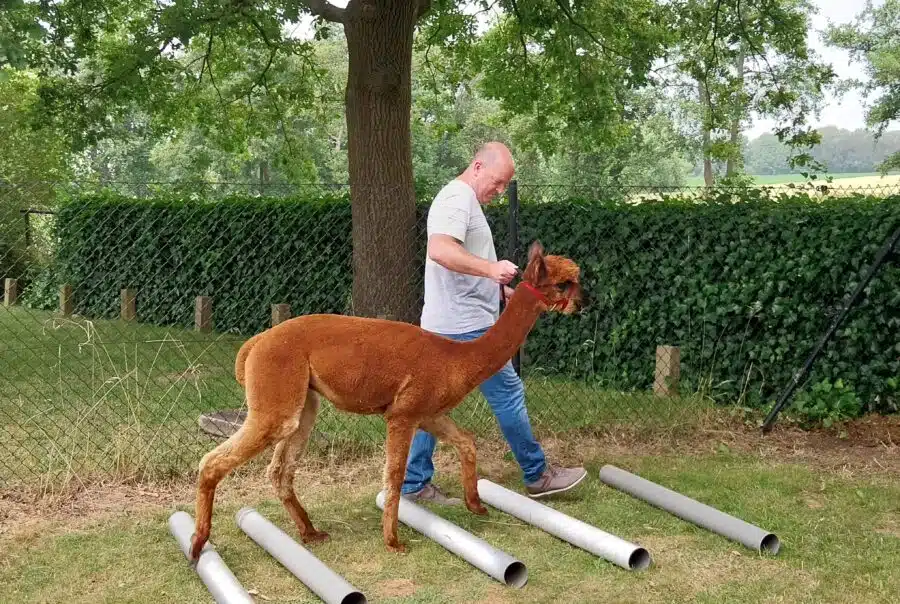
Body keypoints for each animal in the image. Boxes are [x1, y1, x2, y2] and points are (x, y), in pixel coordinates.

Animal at [188, 240, 584, 559]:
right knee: (211, 461)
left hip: (303, 404)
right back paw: (197, 543)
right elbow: (393, 476)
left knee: (279, 470)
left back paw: (310, 532)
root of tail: (257, 342)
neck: (457, 359)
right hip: (278, 398)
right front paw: (393, 542)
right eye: (563, 284)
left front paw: (476, 506)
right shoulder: (403, 414)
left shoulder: (428, 412)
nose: (584, 303)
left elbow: (467, 443)